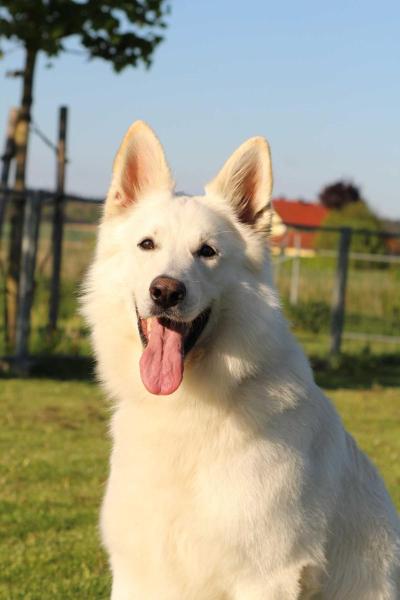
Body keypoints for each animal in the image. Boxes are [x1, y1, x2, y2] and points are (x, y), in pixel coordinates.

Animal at [82, 123, 400, 600]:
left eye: (207, 252)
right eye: (147, 245)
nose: (166, 291)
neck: (187, 410)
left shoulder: (265, 576)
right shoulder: (138, 571)